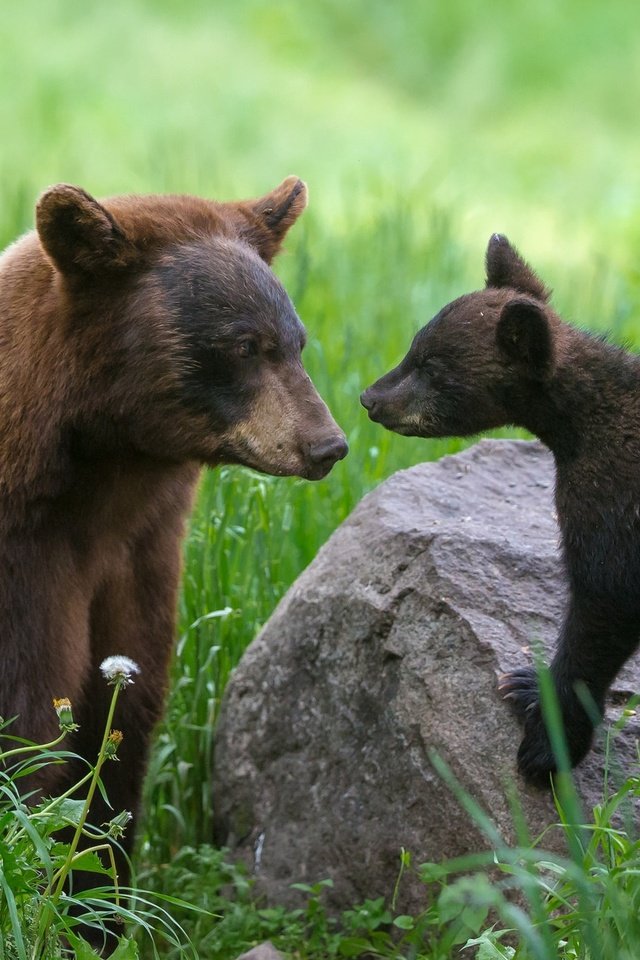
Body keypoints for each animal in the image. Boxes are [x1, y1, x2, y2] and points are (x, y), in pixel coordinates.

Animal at [0, 178, 348, 892]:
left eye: (296, 340)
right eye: (245, 345)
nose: (328, 445)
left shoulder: (141, 550)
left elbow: (124, 715)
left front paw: (101, 885)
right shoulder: (27, 558)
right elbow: (30, 717)